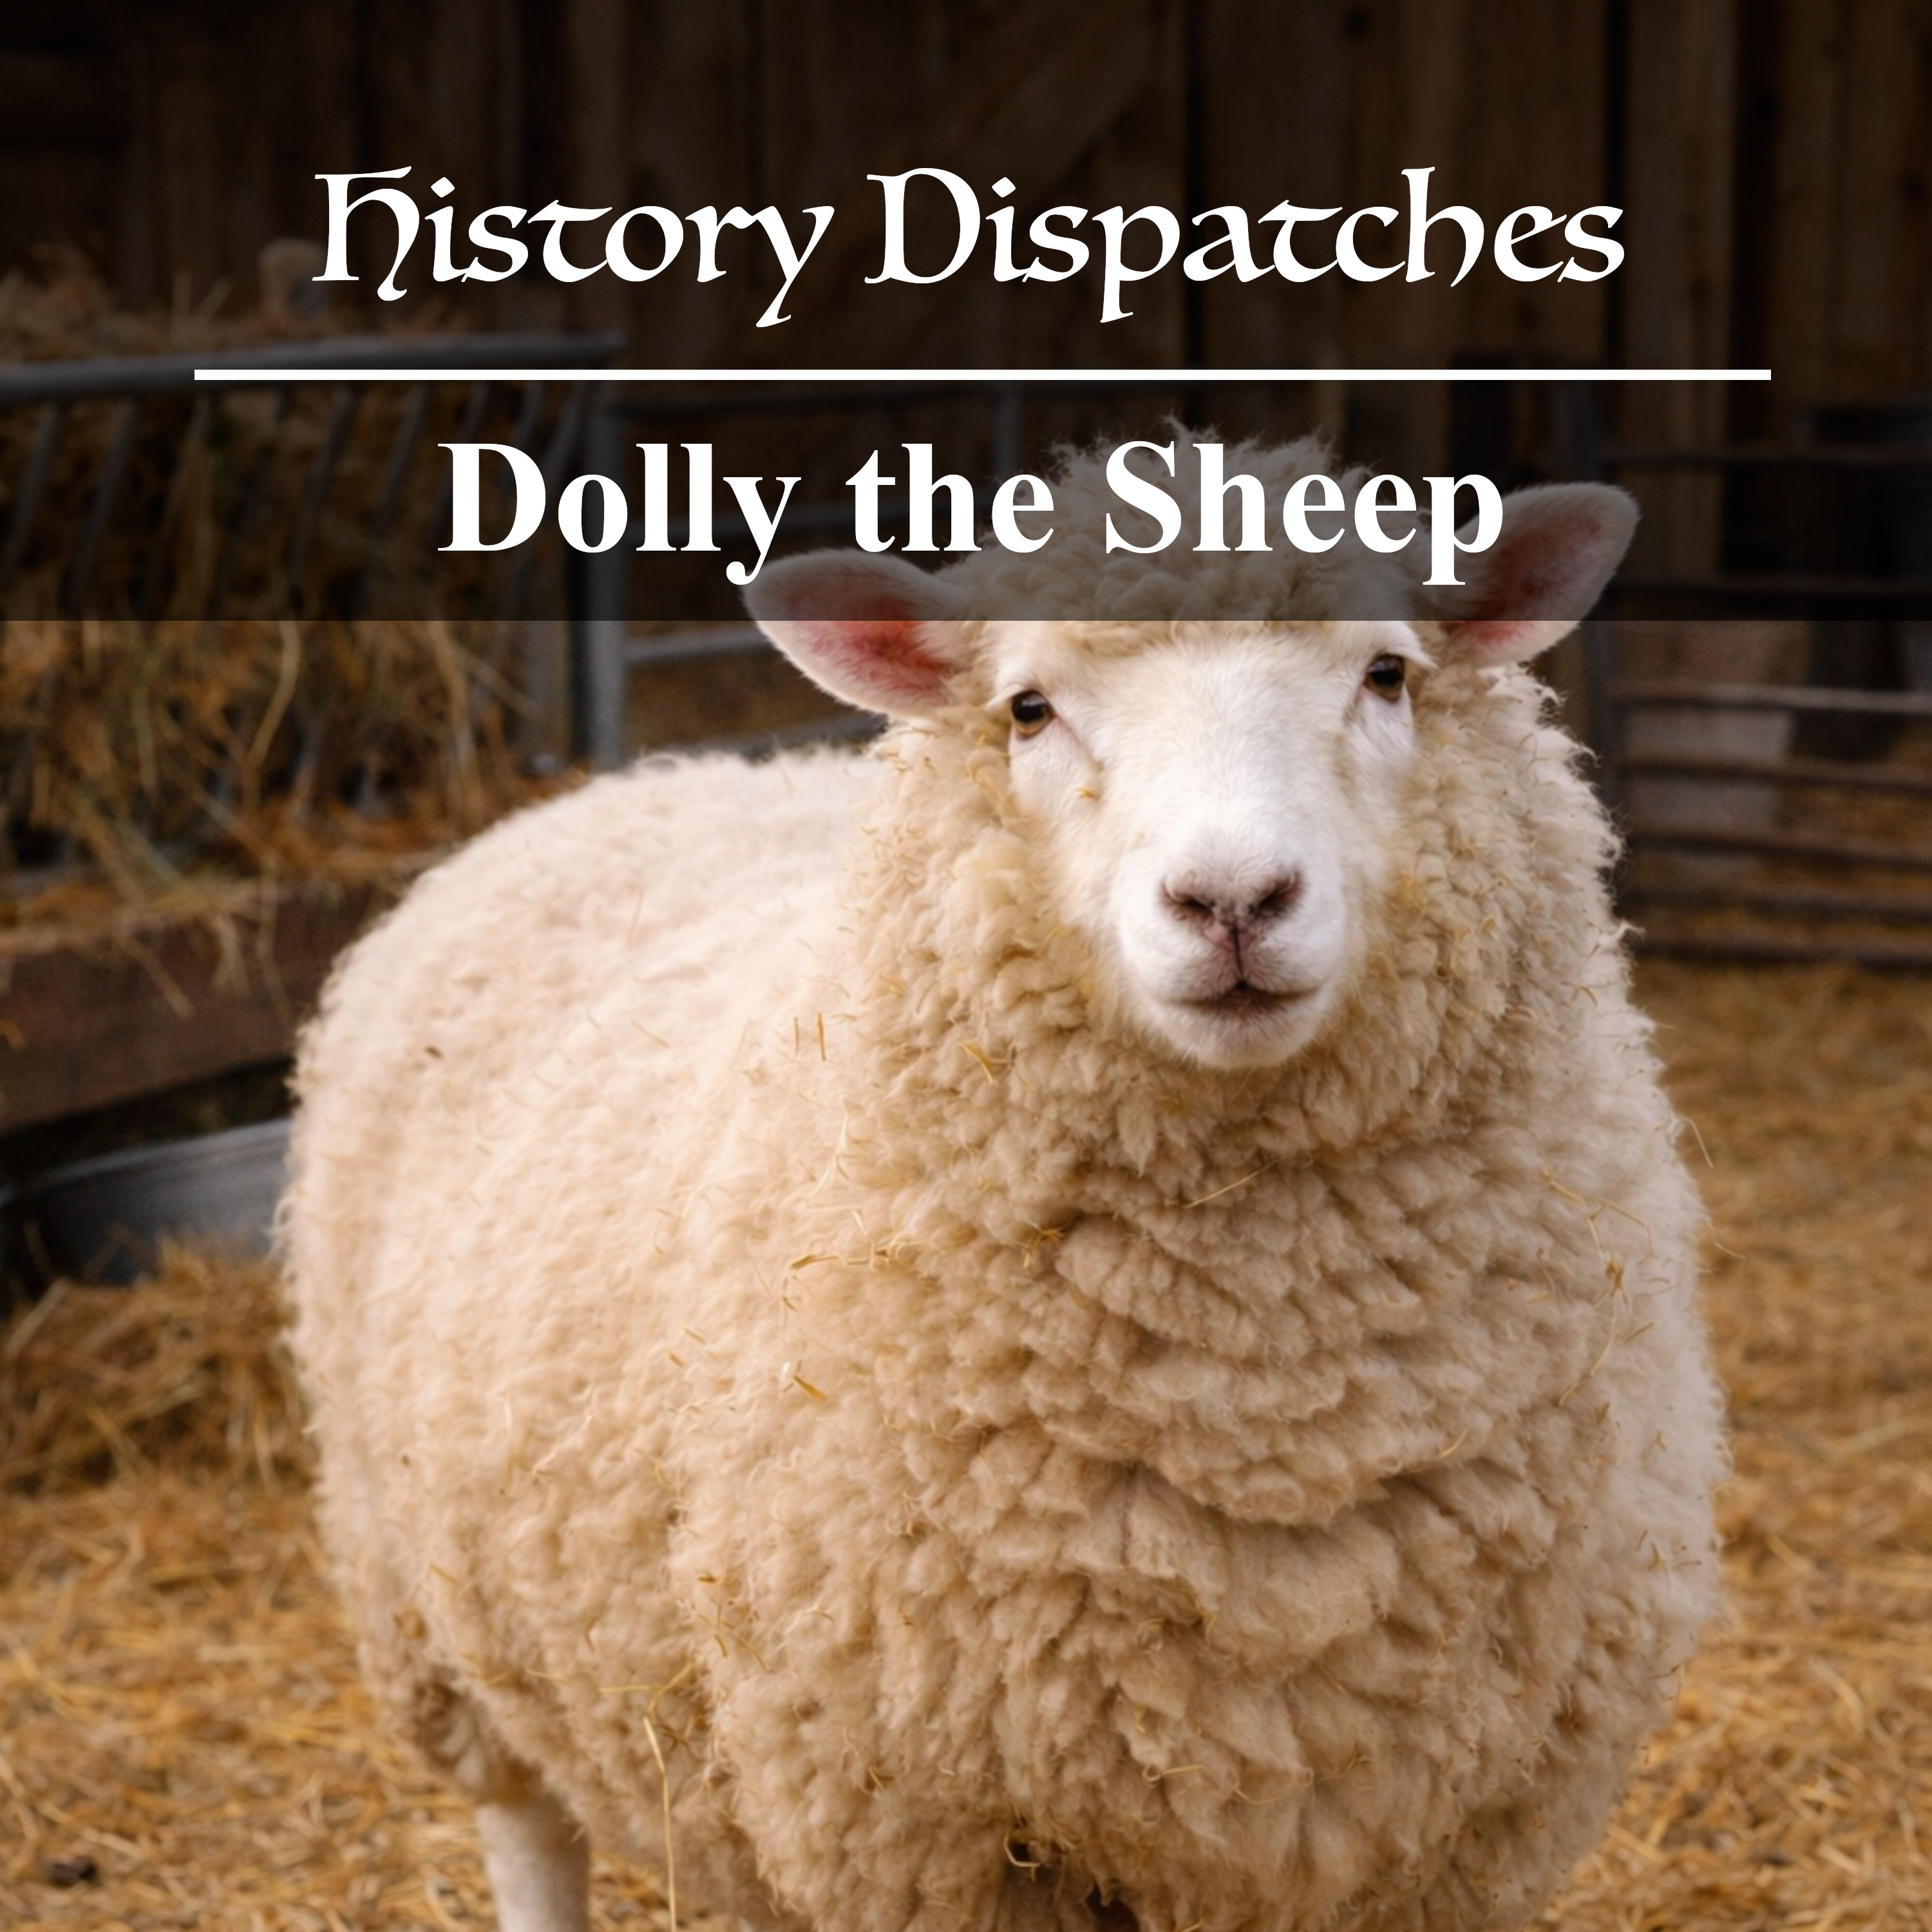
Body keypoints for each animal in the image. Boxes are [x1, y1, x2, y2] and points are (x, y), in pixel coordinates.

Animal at [283, 432, 1725, 1932]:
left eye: (1386, 674)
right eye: (1029, 709)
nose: (1232, 901)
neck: (1269, 1411)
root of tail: (632, 783)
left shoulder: (1466, 1833)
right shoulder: (938, 1833)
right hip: (426, 1600)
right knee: (526, 1825)